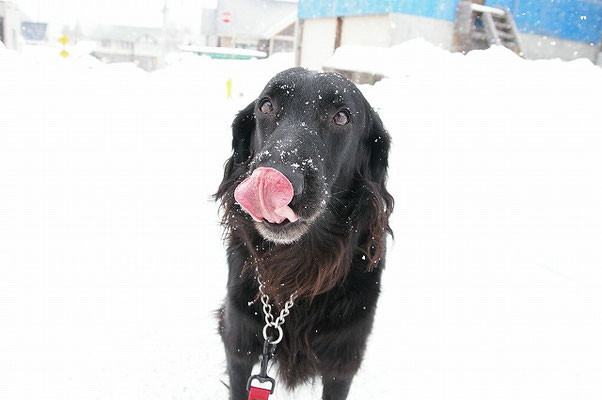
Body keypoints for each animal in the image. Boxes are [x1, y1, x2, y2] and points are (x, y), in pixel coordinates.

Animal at [213, 67, 392, 398]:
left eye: (341, 117)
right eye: (266, 106)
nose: (276, 176)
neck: (294, 272)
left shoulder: (341, 365)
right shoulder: (240, 349)